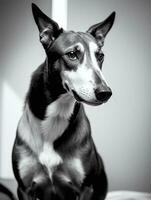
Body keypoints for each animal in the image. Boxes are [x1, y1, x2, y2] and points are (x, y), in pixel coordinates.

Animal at [11, 3, 115, 200]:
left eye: (100, 56)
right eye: (72, 54)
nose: (105, 92)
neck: (57, 114)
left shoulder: (86, 188)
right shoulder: (24, 188)